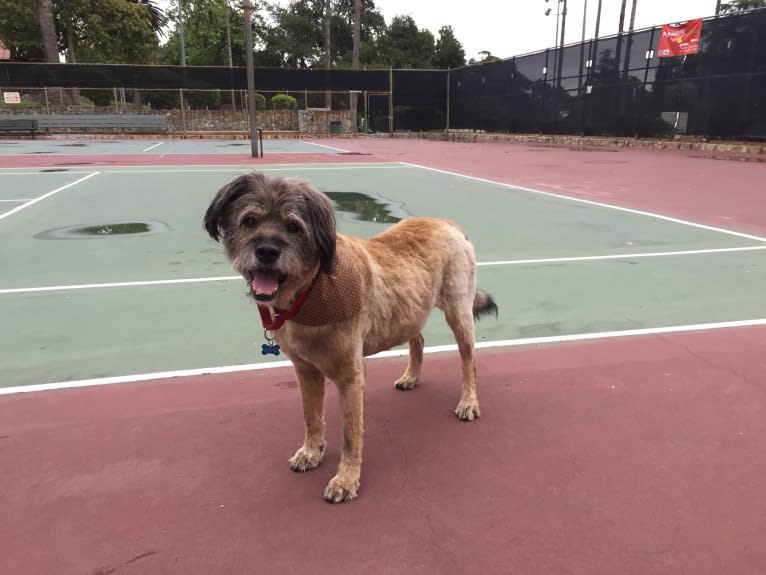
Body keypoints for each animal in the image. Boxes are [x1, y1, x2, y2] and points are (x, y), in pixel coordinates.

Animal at [204, 172, 498, 504]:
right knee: (418, 340)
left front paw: (346, 479)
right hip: (410, 309)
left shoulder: (350, 377)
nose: (266, 251)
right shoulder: (306, 371)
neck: (310, 290)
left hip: (459, 312)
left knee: (468, 360)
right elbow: (311, 416)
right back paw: (411, 376)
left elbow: (350, 435)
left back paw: (469, 401)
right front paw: (311, 451)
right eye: (249, 221)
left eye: (293, 226)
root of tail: (447, 223)